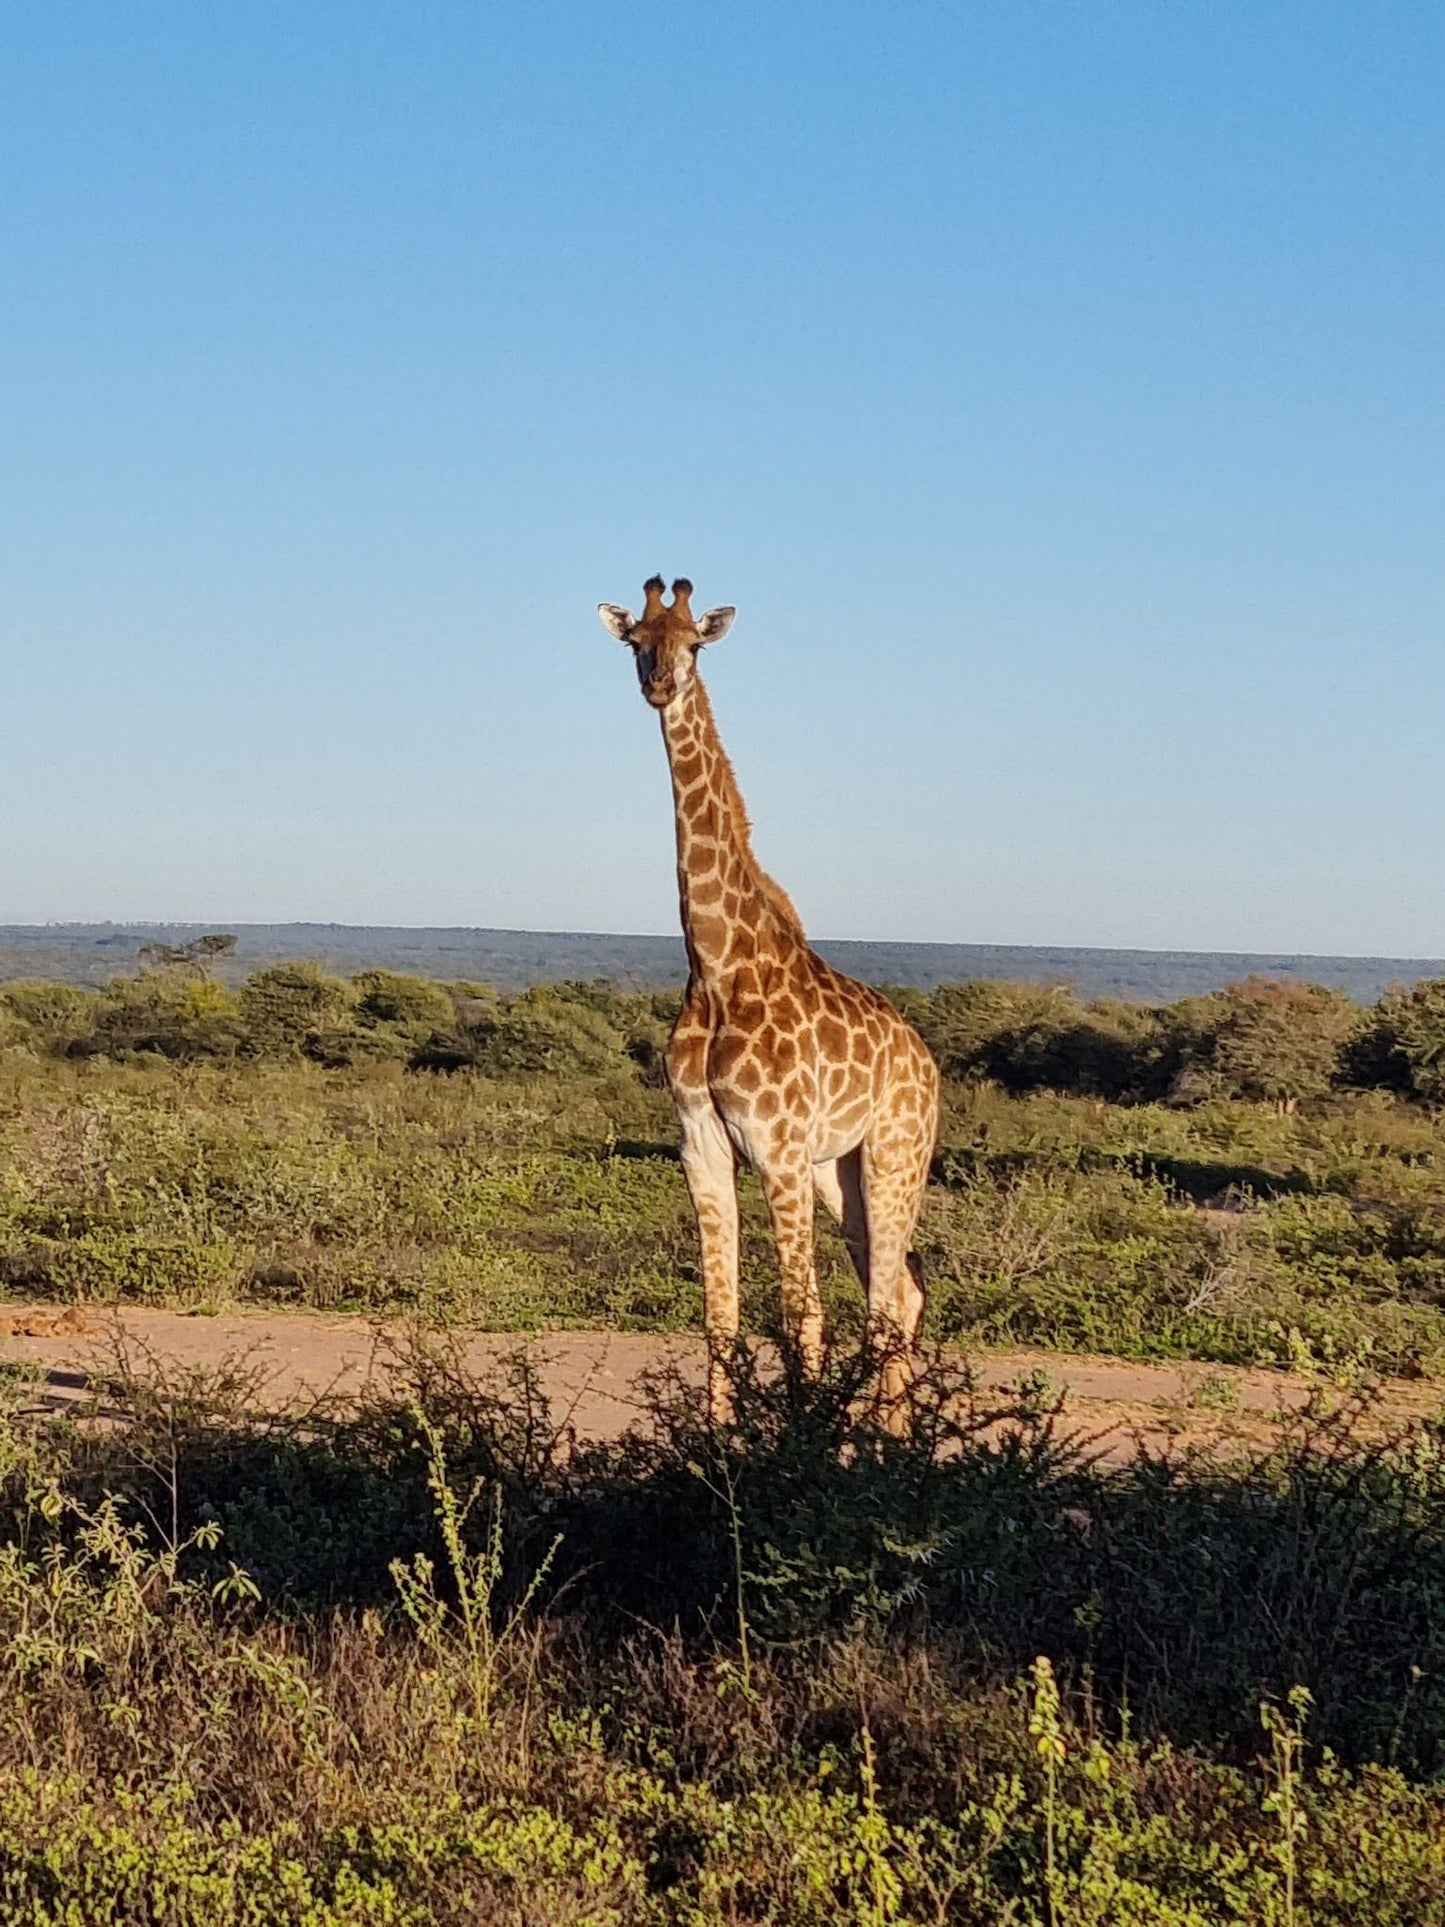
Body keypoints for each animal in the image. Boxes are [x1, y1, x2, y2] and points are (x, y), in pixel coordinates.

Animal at [597, 570, 944, 1418]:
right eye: (635, 641)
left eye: (693, 644)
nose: (659, 685)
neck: (716, 965)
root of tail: (927, 1062)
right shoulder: (703, 1144)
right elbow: (719, 1315)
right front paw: (716, 1446)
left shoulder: (776, 1148)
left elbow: (797, 1311)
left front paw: (798, 1441)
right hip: (838, 1170)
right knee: (901, 1292)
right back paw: (889, 1435)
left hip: (894, 1154)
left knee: (886, 1298)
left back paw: (880, 1441)